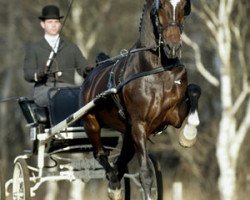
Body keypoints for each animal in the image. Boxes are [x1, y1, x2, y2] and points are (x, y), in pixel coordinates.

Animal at [81, 0, 200, 199]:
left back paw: (115, 182)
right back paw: (114, 184)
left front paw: (188, 135)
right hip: (92, 124)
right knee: (100, 155)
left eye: (185, 6)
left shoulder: (173, 116)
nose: (173, 47)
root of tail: (92, 73)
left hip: (128, 134)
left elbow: (194, 90)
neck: (157, 69)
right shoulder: (139, 125)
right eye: (161, 6)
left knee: (120, 164)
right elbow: (145, 175)